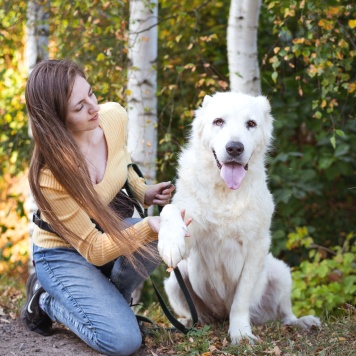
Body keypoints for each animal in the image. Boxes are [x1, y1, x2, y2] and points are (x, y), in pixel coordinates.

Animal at [159, 92, 320, 344]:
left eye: (251, 124)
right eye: (218, 121)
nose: (234, 148)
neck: (225, 192)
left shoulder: (257, 247)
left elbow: (241, 300)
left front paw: (241, 333)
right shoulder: (190, 236)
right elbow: (169, 209)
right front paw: (170, 242)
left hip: (280, 272)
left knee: (285, 314)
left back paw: (304, 322)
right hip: (176, 281)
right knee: (195, 315)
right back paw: (186, 323)